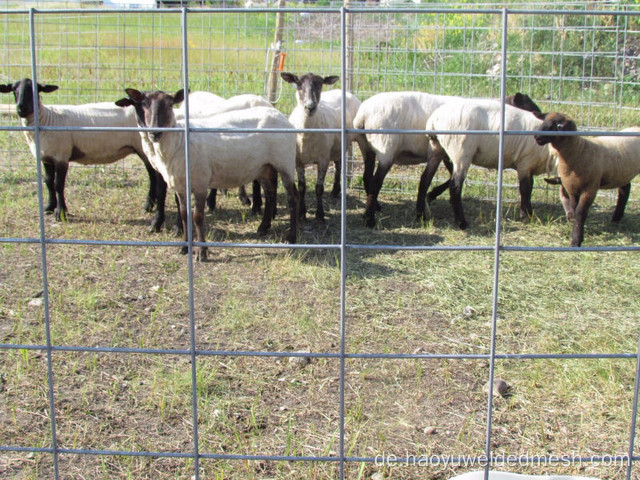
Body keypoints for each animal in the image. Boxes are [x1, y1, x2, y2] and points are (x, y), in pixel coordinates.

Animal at [0, 78, 160, 222]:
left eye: (35, 89)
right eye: (14, 90)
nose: (21, 109)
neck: (46, 119)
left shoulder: (62, 157)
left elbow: (58, 185)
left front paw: (61, 213)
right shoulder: (47, 157)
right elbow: (49, 182)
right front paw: (49, 207)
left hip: (143, 148)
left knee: (153, 175)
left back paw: (149, 205)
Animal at [117, 89, 300, 262]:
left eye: (170, 104)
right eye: (144, 104)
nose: (155, 133)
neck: (179, 140)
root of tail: (281, 116)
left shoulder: (200, 183)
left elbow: (198, 217)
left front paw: (202, 252)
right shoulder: (181, 186)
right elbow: (184, 215)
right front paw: (184, 247)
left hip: (285, 162)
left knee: (293, 199)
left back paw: (291, 239)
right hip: (265, 166)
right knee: (270, 194)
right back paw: (263, 227)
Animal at [282, 71, 364, 221]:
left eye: (320, 85)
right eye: (298, 84)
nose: (310, 107)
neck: (306, 134)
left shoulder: (323, 159)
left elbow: (319, 188)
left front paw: (320, 214)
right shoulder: (298, 161)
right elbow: (302, 186)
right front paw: (302, 212)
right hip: (337, 146)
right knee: (338, 164)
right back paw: (335, 191)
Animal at [422, 97, 556, 229]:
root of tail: (433, 120)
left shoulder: (529, 167)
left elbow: (530, 188)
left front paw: (529, 213)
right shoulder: (525, 163)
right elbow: (525, 190)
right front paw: (525, 216)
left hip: (440, 149)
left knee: (426, 178)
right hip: (461, 151)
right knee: (455, 185)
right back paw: (461, 222)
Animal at [528, 112, 640, 248]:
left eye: (558, 125)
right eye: (543, 121)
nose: (536, 137)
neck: (579, 150)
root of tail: (636, 127)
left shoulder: (590, 188)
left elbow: (580, 213)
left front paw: (576, 241)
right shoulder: (572, 188)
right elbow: (575, 210)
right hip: (622, 173)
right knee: (625, 190)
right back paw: (616, 218)